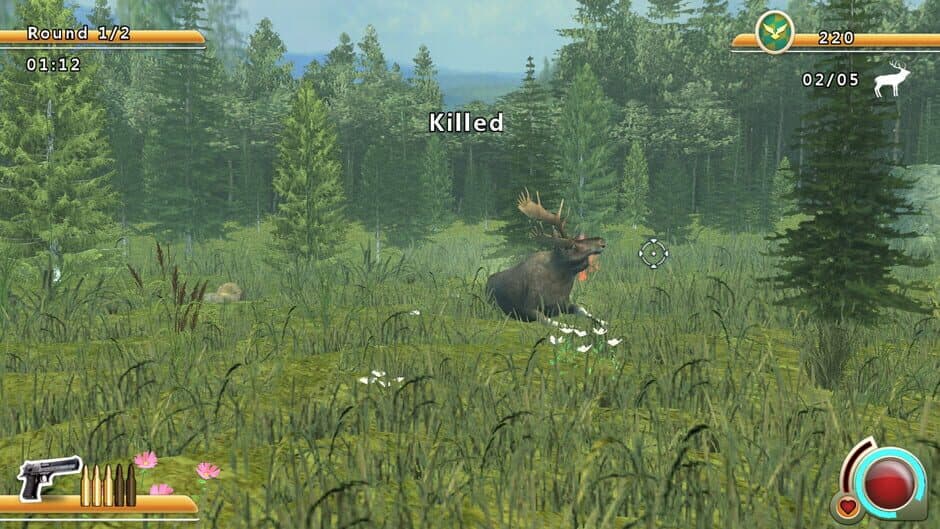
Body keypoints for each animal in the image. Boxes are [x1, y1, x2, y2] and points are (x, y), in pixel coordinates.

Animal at [486, 189, 607, 328]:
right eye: (573, 245)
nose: (601, 241)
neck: (561, 280)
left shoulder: (562, 304)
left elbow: (582, 309)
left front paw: (604, 323)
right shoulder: (528, 309)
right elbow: (554, 323)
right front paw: (575, 329)